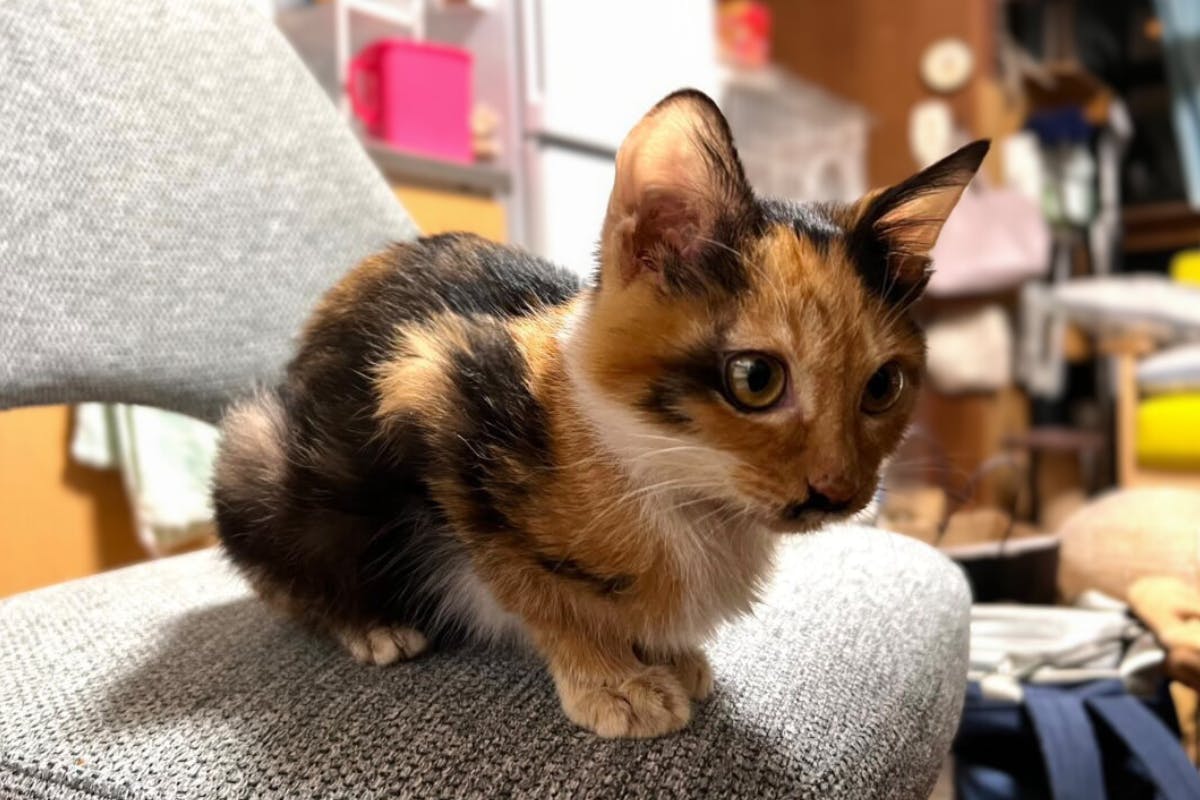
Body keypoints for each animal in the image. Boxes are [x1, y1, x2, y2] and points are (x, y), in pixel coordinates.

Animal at [213, 89, 987, 739]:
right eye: (756, 379)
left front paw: (667, 654)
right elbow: (528, 582)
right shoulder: (430, 379)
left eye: (883, 386)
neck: (680, 482)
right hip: (264, 455)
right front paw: (611, 678)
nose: (841, 491)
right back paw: (368, 622)